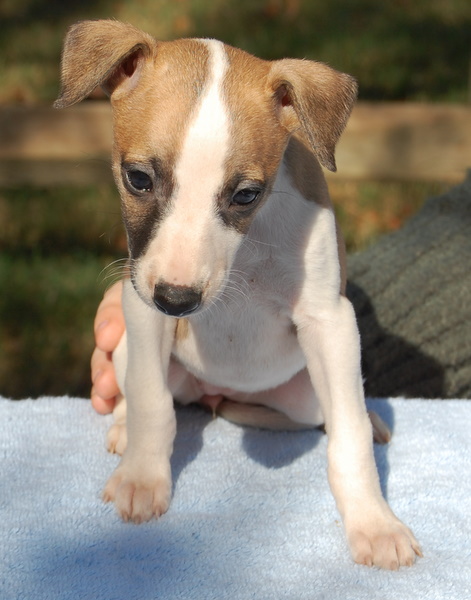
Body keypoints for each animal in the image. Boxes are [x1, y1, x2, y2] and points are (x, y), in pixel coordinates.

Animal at [55, 20, 421, 569]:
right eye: (137, 178)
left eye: (246, 194)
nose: (177, 301)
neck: (249, 252)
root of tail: (221, 392)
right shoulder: (140, 301)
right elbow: (149, 400)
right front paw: (142, 480)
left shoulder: (329, 321)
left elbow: (349, 437)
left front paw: (374, 524)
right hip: (127, 345)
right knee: (139, 391)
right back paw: (121, 429)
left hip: (307, 396)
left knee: (341, 416)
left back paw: (373, 420)